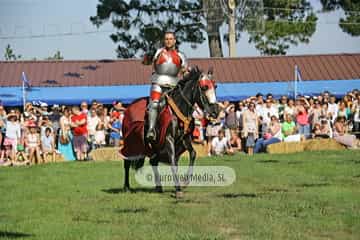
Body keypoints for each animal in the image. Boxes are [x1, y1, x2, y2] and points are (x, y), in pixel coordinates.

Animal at [120, 66, 219, 198]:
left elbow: (193, 154)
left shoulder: (184, 139)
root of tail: (127, 109)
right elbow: (172, 161)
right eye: (204, 87)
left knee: (153, 162)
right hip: (130, 143)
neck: (180, 108)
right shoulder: (169, 139)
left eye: (215, 86)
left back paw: (159, 187)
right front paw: (178, 189)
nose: (215, 112)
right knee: (126, 162)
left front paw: (184, 182)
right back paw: (126, 187)